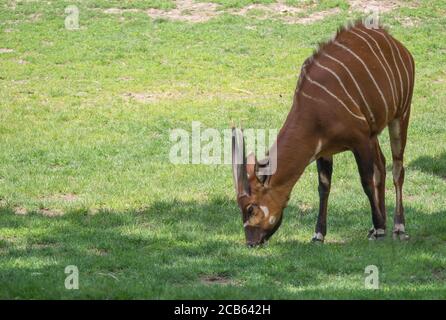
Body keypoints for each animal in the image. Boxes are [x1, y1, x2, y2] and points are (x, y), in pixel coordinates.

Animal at [233, 20, 414, 248]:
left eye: (251, 208)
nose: (251, 242)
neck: (314, 109)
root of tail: (395, 42)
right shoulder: (325, 150)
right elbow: (324, 187)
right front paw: (318, 234)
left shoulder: (359, 140)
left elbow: (366, 181)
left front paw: (381, 228)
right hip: (374, 133)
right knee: (381, 165)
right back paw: (374, 228)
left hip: (400, 115)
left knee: (397, 169)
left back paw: (398, 228)